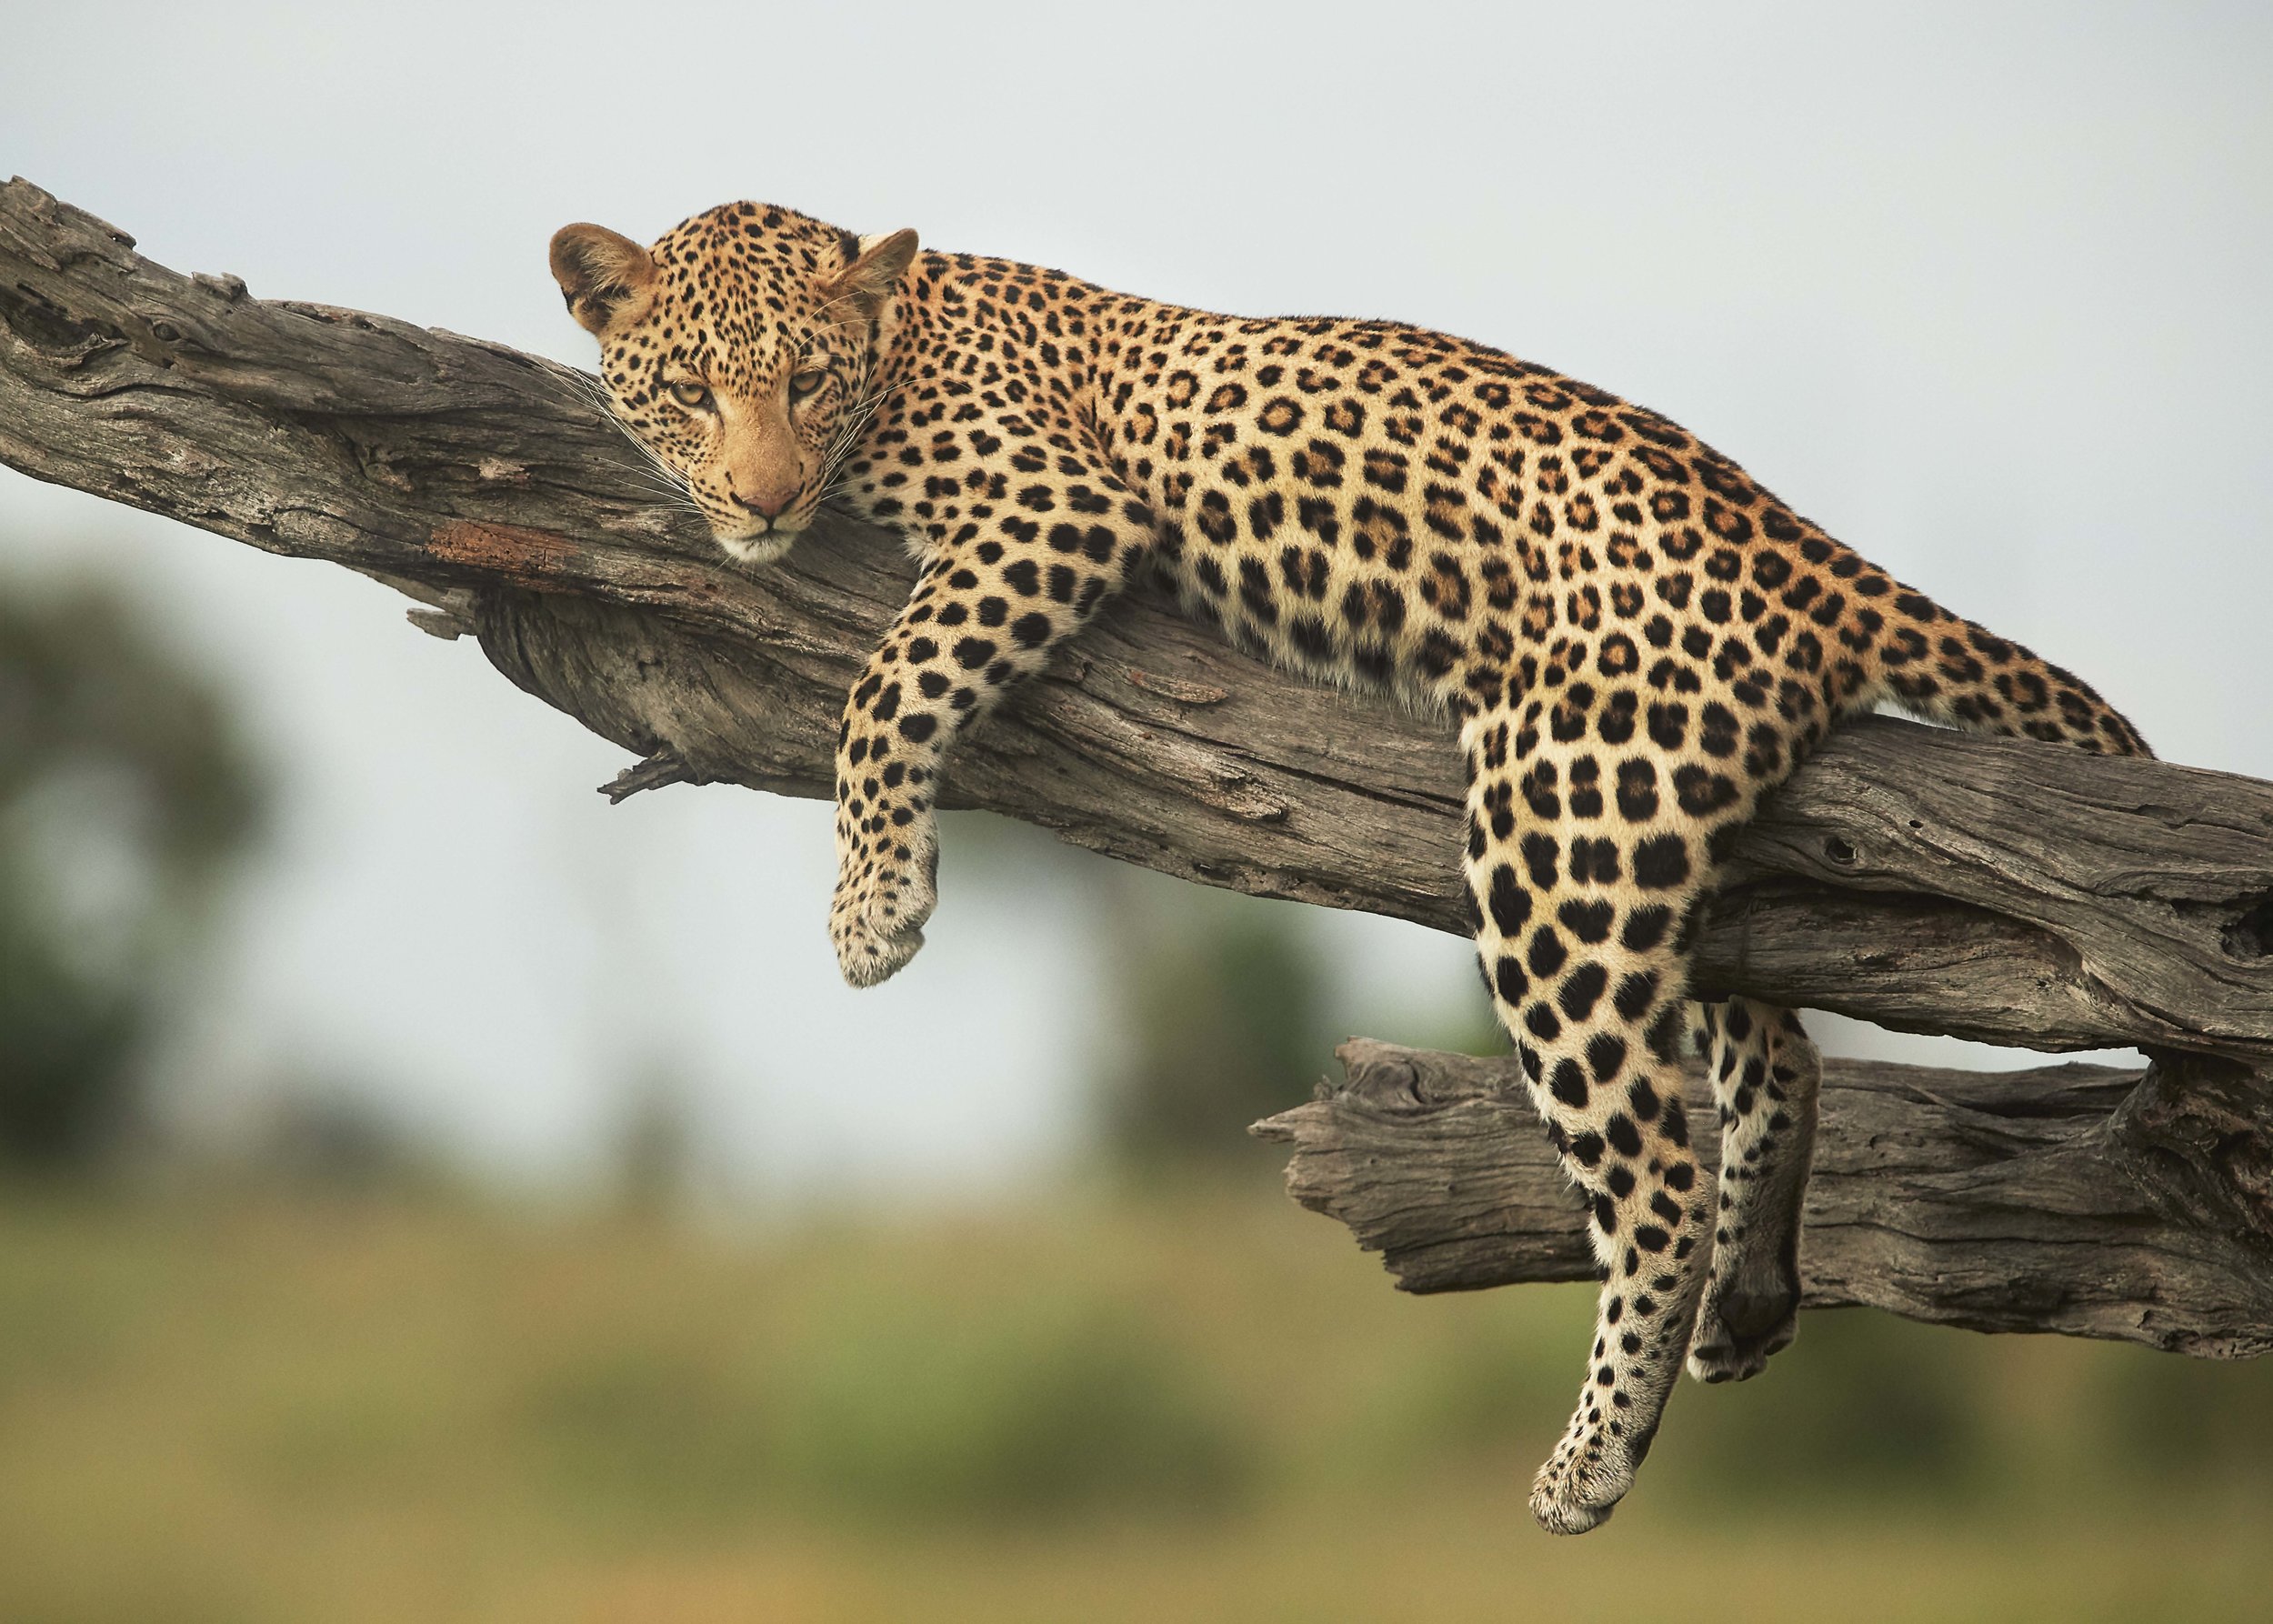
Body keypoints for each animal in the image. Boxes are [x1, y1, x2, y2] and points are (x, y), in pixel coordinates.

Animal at [550, 200, 2149, 1534]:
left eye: (808, 383)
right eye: (693, 392)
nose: (763, 501)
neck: (906, 335)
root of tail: (1812, 553)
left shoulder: (1051, 505)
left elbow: (890, 681)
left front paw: (874, 909)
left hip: (1559, 832)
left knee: (1655, 1173)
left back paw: (1591, 1460)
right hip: (1665, 830)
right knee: (1771, 1051)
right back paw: (1749, 1306)